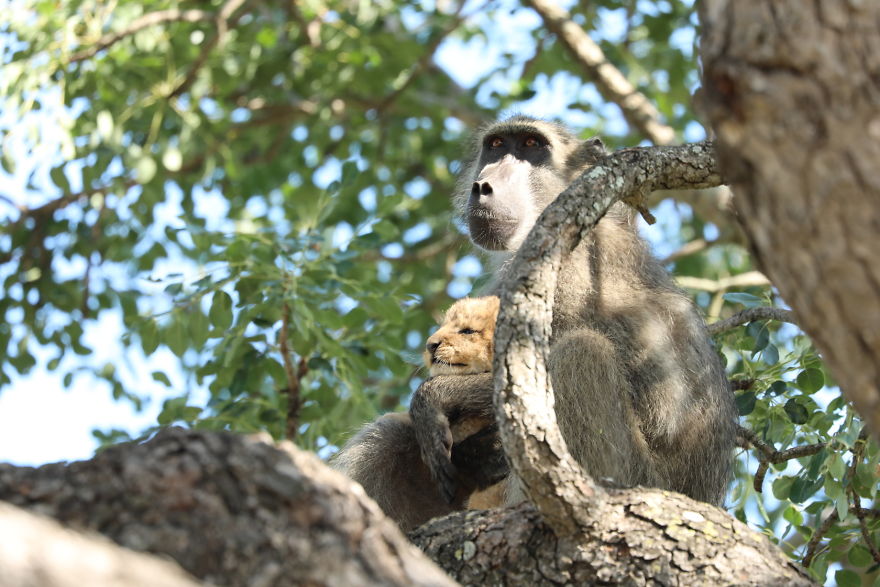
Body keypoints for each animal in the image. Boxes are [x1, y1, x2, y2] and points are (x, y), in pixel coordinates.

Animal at [334, 115, 737, 530]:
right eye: (496, 145)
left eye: (531, 145)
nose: (483, 186)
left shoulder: (564, 261)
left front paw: (436, 395)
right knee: (390, 435)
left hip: (637, 478)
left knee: (580, 352)